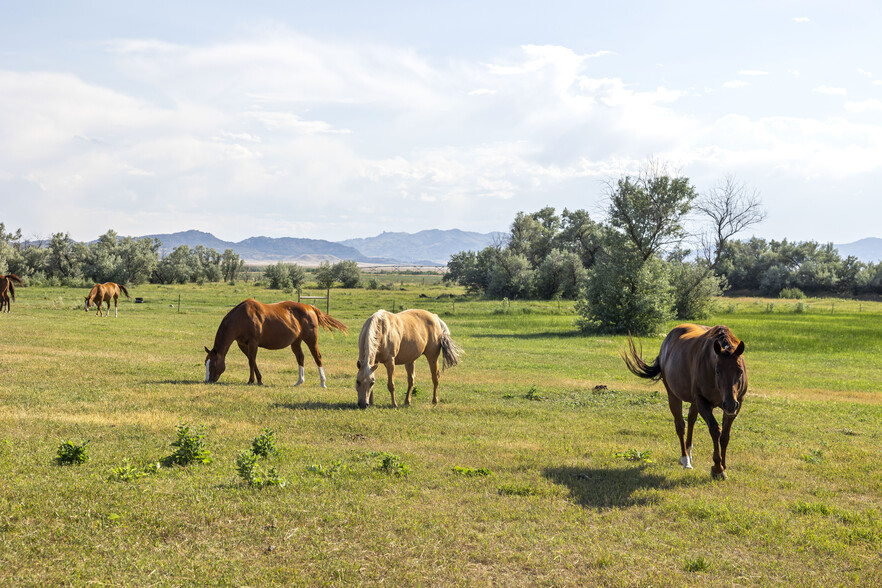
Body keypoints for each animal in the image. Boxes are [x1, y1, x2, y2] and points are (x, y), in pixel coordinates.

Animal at [205, 298, 346, 390]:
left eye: (212, 364)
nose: (208, 381)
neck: (241, 318)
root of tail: (310, 307)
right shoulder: (243, 345)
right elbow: (253, 361)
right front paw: (259, 380)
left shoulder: (253, 343)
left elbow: (251, 361)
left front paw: (251, 381)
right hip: (296, 342)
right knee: (300, 358)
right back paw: (299, 381)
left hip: (311, 340)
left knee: (317, 357)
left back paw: (322, 382)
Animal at [620, 324, 748, 480]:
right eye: (717, 371)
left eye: (739, 371)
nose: (730, 404)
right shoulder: (702, 401)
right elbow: (715, 430)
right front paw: (717, 468)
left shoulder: (737, 404)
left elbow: (725, 436)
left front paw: (724, 467)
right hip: (673, 395)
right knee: (680, 425)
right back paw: (685, 459)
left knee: (691, 419)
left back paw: (689, 451)